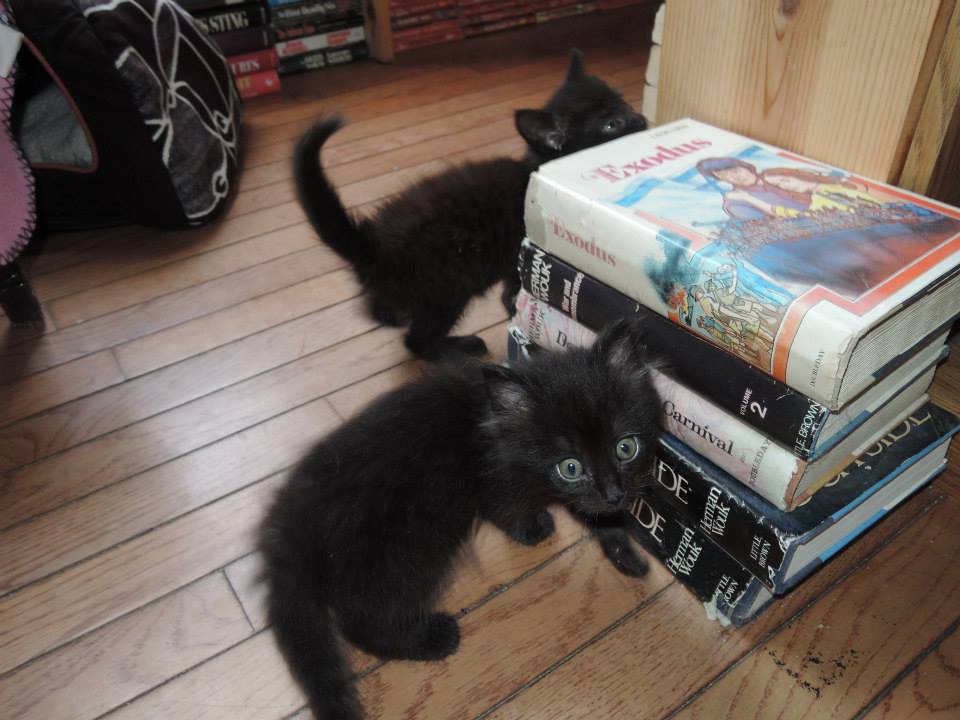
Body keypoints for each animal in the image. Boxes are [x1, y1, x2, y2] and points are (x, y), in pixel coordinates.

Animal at [259, 318, 661, 720]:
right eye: (571, 466)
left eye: (625, 447)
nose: (616, 493)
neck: (497, 429)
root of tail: (288, 528)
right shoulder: (493, 480)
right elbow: (510, 510)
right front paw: (534, 529)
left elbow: (594, 512)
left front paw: (625, 552)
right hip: (406, 546)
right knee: (363, 620)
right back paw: (431, 639)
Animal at [293, 49, 647, 359]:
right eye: (611, 125)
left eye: (625, 102)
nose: (641, 117)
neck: (540, 169)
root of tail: (373, 245)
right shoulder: (518, 254)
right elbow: (514, 291)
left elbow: (512, 292)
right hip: (448, 288)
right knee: (416, 341)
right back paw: (458, 347)